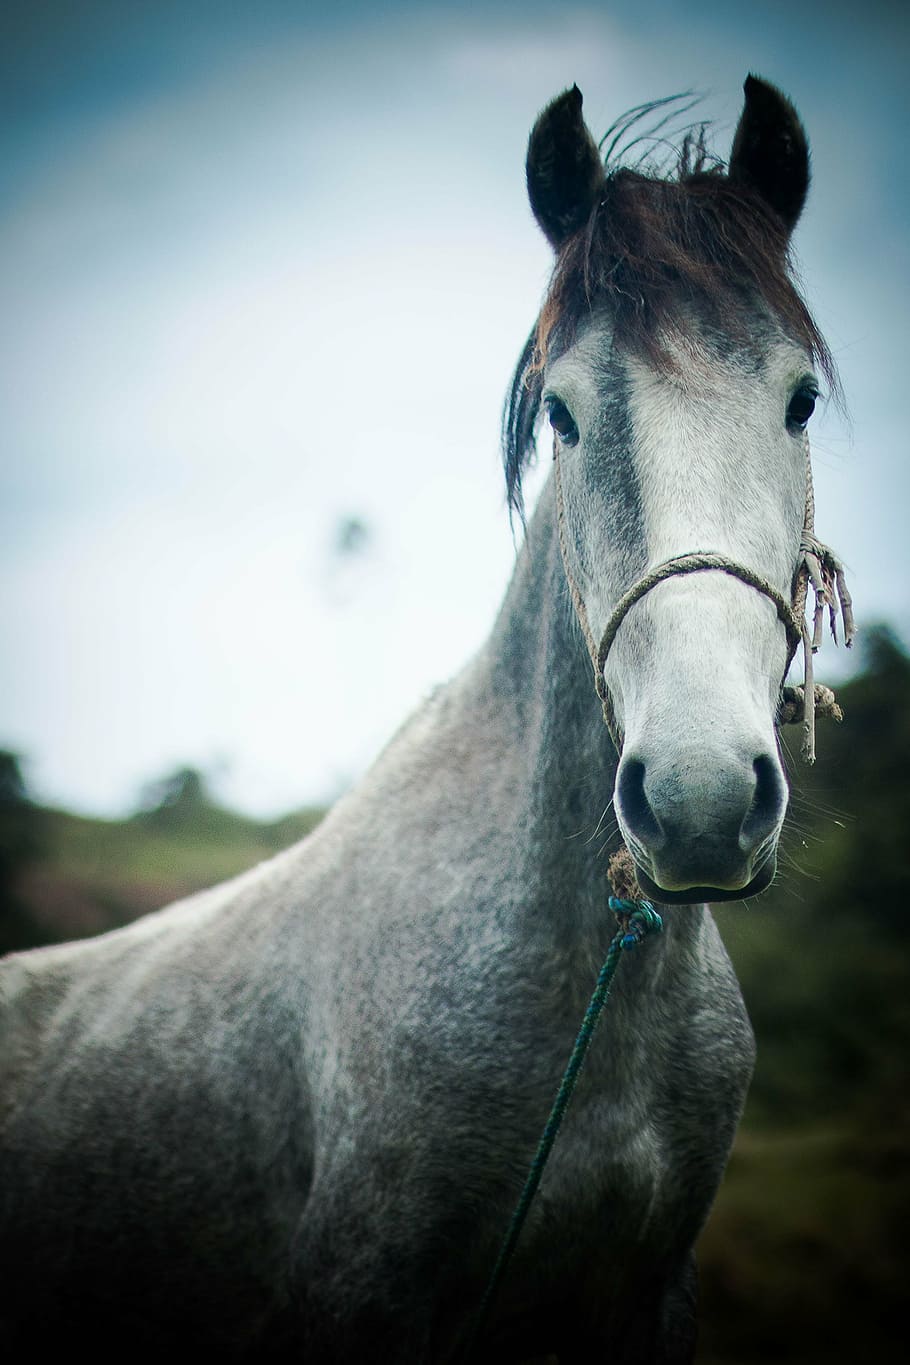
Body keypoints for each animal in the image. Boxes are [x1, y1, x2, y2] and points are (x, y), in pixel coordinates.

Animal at [0, 77, 845, 1365]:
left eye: (797, 399)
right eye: (563, 416)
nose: (698, 797)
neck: (589, 996)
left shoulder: (649, 1297)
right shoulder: (364, 1294)